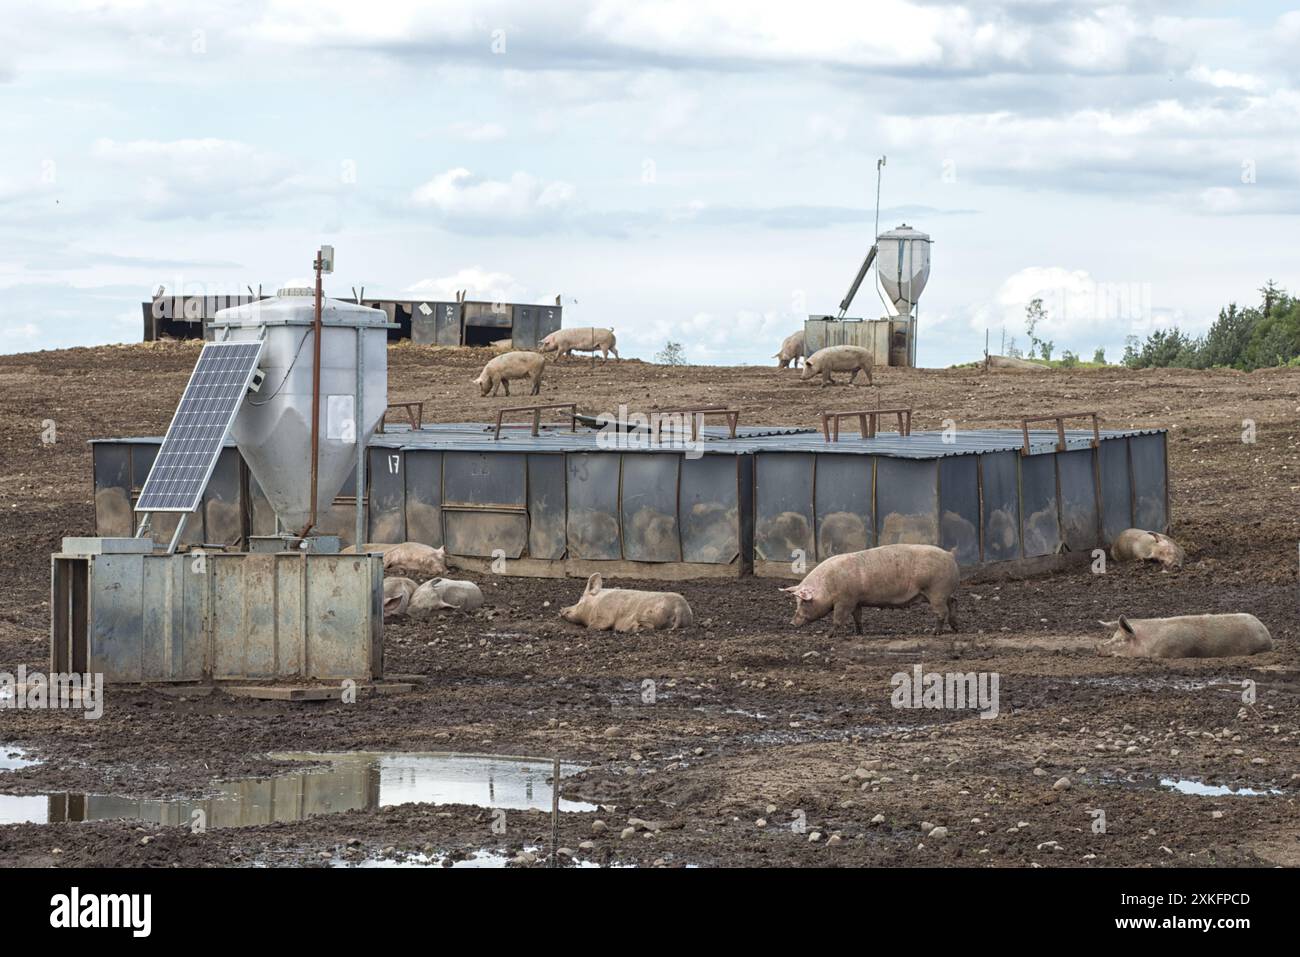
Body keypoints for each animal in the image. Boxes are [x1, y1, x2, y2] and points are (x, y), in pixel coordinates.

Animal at [564, 572, 696, 631]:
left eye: (581, 598)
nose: (562, 609)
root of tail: (680, 608)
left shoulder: (604, 615)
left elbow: (595, 626)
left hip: (648, 614)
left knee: (650, 626)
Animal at [774, 546, 961, 634]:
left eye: (804, 602)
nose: (792, 623)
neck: (827, 586)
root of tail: (949, 555)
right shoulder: (856, 601)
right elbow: (857, 618)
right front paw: (858, 633)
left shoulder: (845, 600)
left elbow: (838, 618)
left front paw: (829, 635)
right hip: (941, 593)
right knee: (954, 602)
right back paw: (955, 628)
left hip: (936, 591)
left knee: (942, 612)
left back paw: (935, 632)